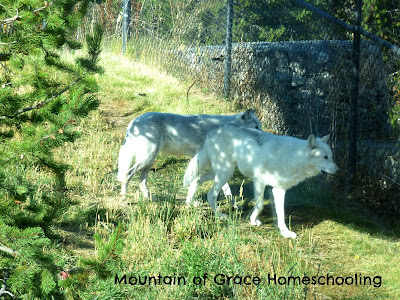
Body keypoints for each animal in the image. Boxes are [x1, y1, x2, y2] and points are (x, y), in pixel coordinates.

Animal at [117, 109, 260, 198]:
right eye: (257, 127)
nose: (263, 135)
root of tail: (134, 121)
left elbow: (225, 188)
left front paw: (234, 206)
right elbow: (196, 183)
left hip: (149, 161)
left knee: (141, 181)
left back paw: (149, 198)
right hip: (147, 158)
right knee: (127, 174)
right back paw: (124, 197)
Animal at [184, 124, 338, 239]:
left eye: (331, 156)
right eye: (324, 157)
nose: (338, 170)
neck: (293, 157)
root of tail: (213, 131)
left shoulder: (279, 190)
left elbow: (281, 214)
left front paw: (285, 233)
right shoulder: (259, 181)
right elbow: (260, 205)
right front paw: (253, 220)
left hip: (221, 172)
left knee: (197, 179)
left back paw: (190, 202)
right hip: (225, 173)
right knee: (211, 194)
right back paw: (221, 216)